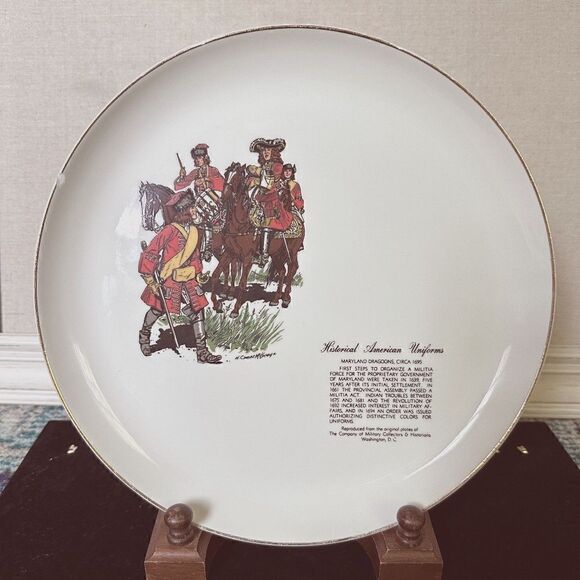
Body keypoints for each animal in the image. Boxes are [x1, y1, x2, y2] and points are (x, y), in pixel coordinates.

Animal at [211, 163, 304, 318]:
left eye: (238, 177)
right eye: (226, 174)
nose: (225, 195)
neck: (240, 224)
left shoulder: (247, 258)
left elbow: (242, 283)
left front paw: (235, 310)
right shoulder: (229, 253)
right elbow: (215, 275)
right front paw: (217, 304)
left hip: (291, 251)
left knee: (292, 268)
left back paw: (285, 299)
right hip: (277, 254)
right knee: (283, 271)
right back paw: (275, 299)